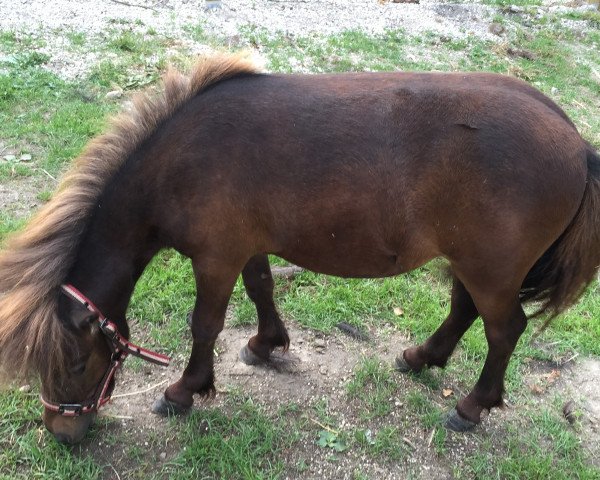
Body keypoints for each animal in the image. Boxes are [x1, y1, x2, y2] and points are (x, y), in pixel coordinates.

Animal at [1, 52, 600, 442]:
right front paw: (266, 344)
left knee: (504, 331)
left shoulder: (215, 258)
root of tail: (576, 144)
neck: (181, 162)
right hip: (472, 262)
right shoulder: (246, 247)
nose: (62, 431)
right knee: (464, 309)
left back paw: (472, 407)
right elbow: (262, 289)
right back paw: (421, 358)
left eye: (77, 362)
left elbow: (205, 325)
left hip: (491, 269)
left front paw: (184, 391)